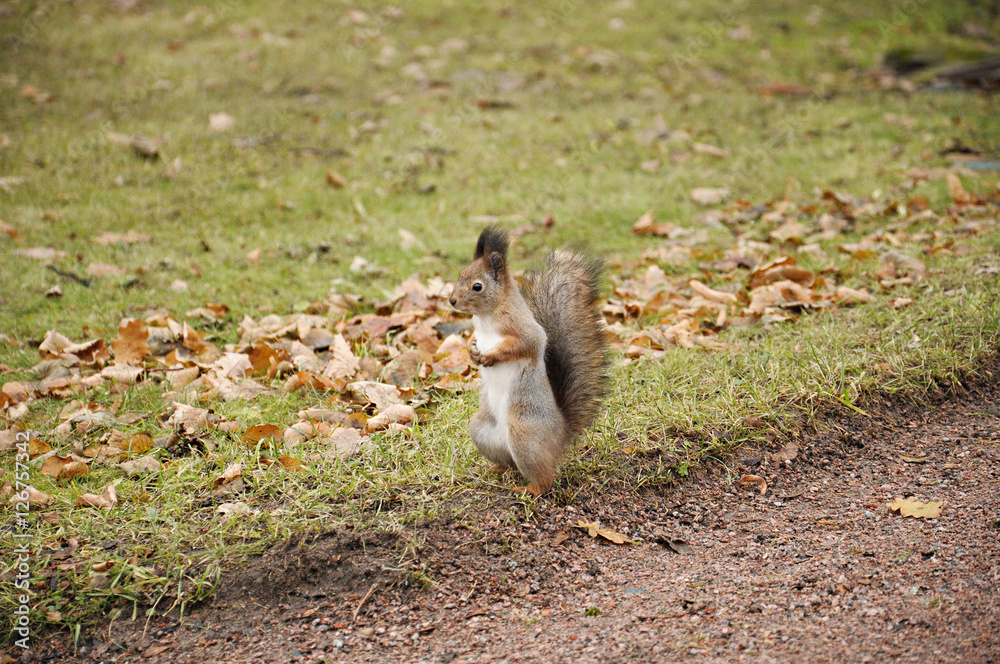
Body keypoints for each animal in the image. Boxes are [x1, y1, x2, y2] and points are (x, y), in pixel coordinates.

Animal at [449, 226, 609, 495]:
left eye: (477, 286)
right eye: (460, 274)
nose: (451, 301)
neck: (486, 318)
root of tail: (560, 436)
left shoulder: (524, 329)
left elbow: (529, 344)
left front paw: (491, 356)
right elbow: (472, 340)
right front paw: (473, 351)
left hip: (524, 432)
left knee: (545, 478)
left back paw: (529, 490)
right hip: (482, 430)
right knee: (510, 462)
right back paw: (495, 469)